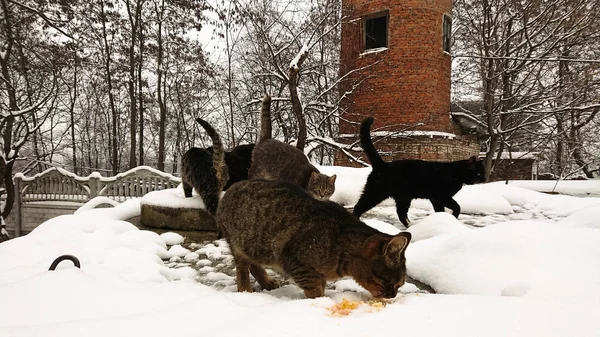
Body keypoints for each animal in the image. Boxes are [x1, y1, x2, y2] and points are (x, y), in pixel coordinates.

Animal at [217, 180, 412, 298]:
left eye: (400, 285)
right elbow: (315, 290)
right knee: (243, 266)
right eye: (392, 282)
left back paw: (267, 282)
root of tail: (231, 188)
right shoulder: (299, 266)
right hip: (239, 242)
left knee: (253, 264)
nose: (393, 295)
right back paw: (245, 290)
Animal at [352, 117, 488, 226]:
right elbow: (457, 207)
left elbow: (440, 211)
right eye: (478, 173)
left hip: (375, 193)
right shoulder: (441, 195)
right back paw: (410, 225)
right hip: (400, 196)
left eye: (483, 172)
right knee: (400, 213)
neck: (455, 173)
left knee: (359, 206)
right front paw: (453, 217)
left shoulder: (436, 199)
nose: (484, 178)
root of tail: (383, 165)